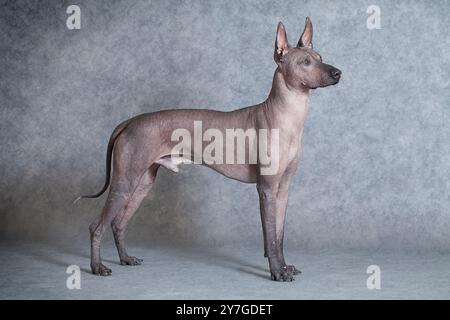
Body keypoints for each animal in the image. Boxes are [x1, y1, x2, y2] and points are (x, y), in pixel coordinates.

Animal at [75, 17, 340, 282]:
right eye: (305, 62)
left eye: (320, 56)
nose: (338, 73)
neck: (288, 116)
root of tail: (130, 121)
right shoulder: (266, 189)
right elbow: (270, 237)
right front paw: (276, 271)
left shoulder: (283, 189)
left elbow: (279, 235)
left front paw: (285, 267)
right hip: (125, 181)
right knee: (96, 226)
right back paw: (97, 267)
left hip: (142, 183)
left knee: (118, 223)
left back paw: (125, 259)